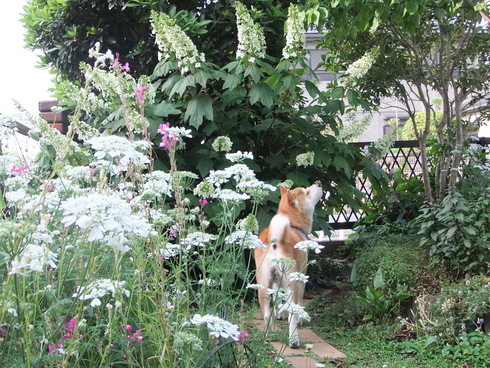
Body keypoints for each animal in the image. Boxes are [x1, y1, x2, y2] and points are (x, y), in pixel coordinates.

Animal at [255, 183, 324, 348]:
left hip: (263, 287)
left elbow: (277, 301)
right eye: (306, 192)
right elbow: (299, 304)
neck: (293, 224)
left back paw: (269, 335)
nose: (319, 184)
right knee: (292, 312)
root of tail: (275, 241)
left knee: (267, 314)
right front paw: (300, 319)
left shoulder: (275, 283)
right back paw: (293, 340)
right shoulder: (301, 277)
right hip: (292, 284)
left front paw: (280, 314)